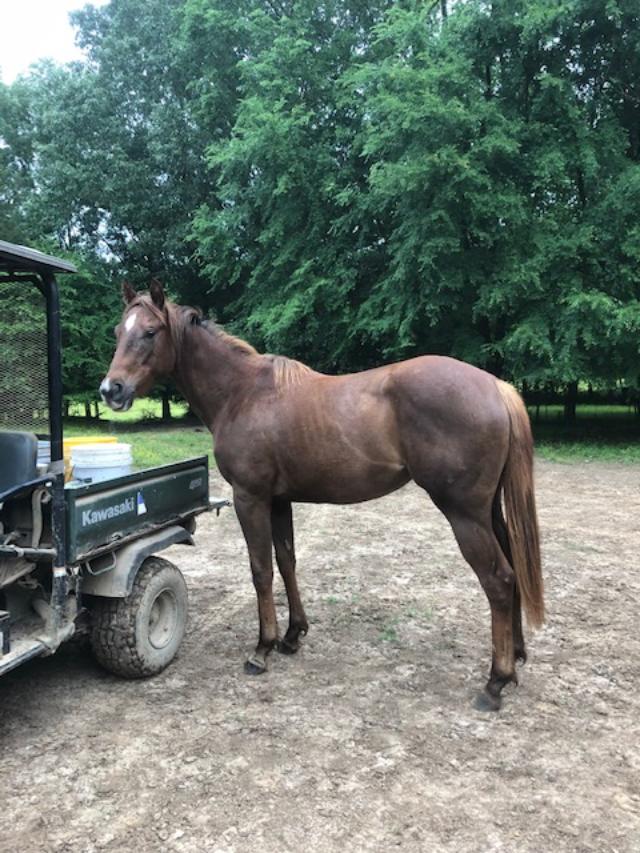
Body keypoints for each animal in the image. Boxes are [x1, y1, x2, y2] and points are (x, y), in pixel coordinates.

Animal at [100, 280, 544, 711]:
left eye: (150, 332)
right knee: (512, 571)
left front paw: (262, 649)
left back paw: (495, 682)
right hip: (489, 511)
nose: (111, 390)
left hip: (464, 514)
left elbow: (261, 570)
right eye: (119, 331)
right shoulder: (279, 501)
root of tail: (495, 386)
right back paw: (517, 658)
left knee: (499, 580)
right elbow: (287, 562)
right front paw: (292, 635)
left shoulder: (250, 499)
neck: (243, 394)